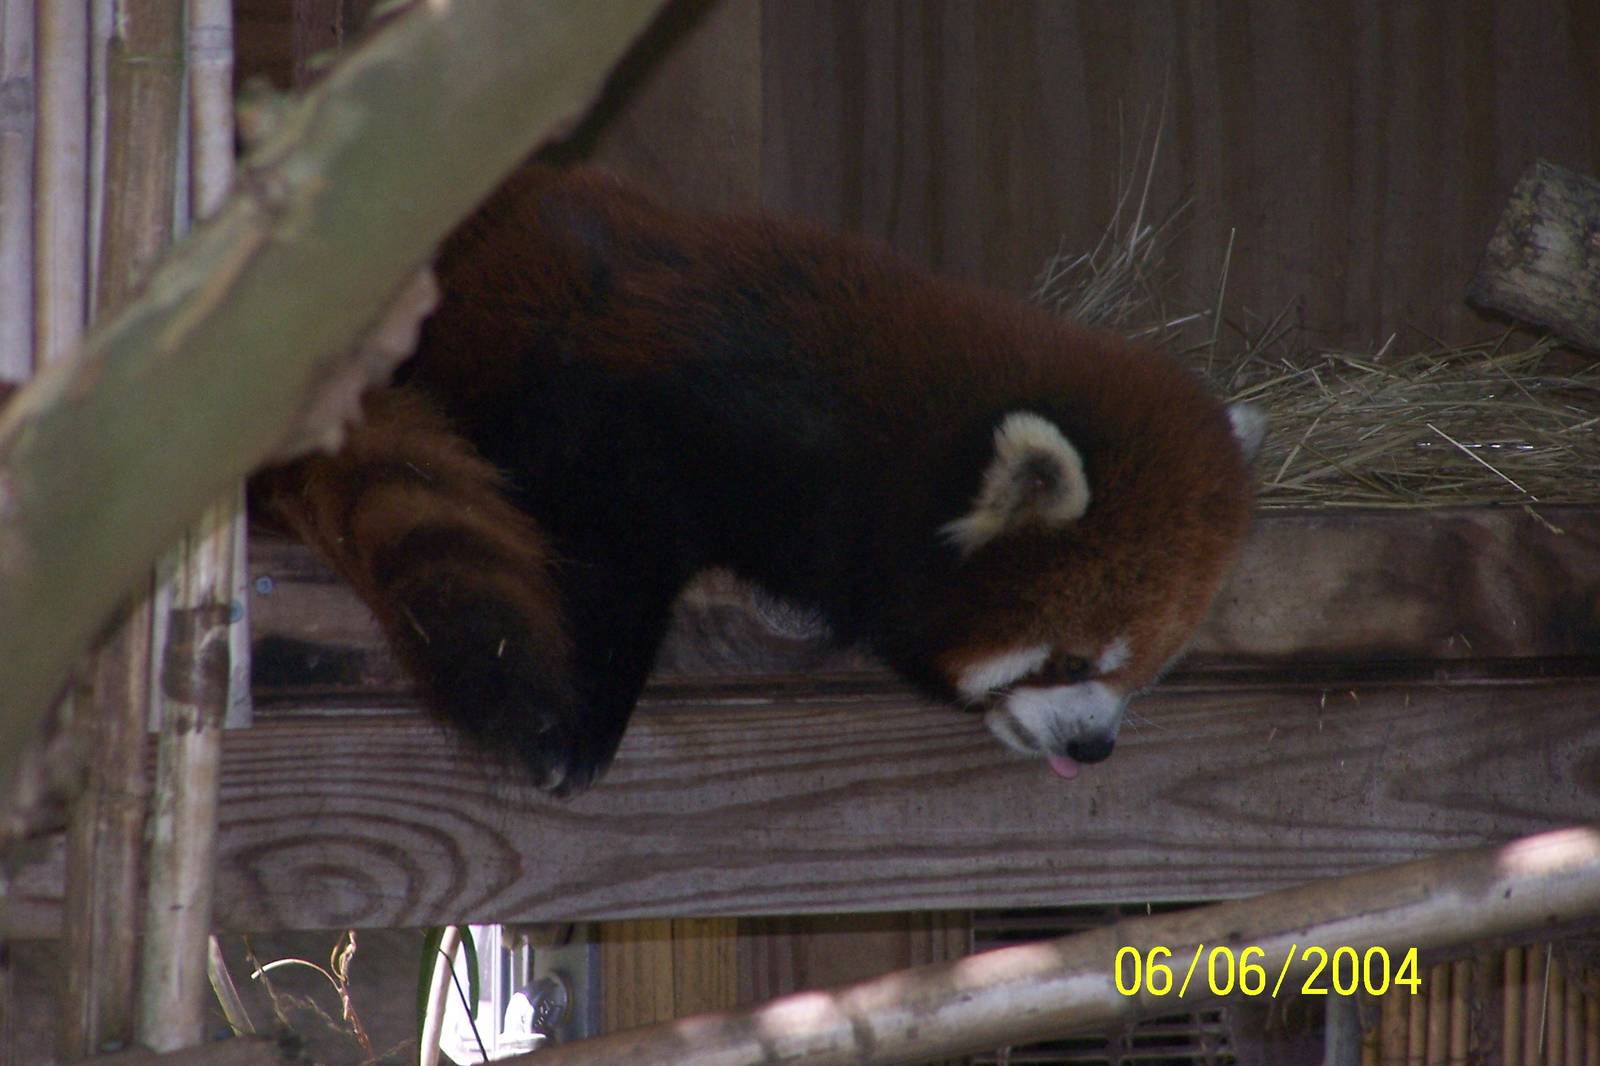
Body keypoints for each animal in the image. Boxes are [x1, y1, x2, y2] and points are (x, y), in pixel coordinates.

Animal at [252, 166, 1261, 795]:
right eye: (1071, 661)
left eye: (1146, 671)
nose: (1095, 747)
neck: (878, 443)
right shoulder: (650, 407)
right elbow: (608, 541)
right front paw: (587, 710)